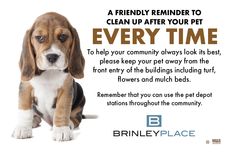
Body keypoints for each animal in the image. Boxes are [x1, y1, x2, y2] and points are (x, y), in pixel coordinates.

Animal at [12, 12, 85, 141]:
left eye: (63, 36)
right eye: (39, 38)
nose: (52, 56)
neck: (49, 72)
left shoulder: (66, 89)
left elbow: (62, 109)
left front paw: (61, 129)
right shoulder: (25, 88)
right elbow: (24, 109)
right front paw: (23, 128)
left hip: (80, 93)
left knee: (76, 119)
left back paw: (69, 124)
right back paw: (33, 121)